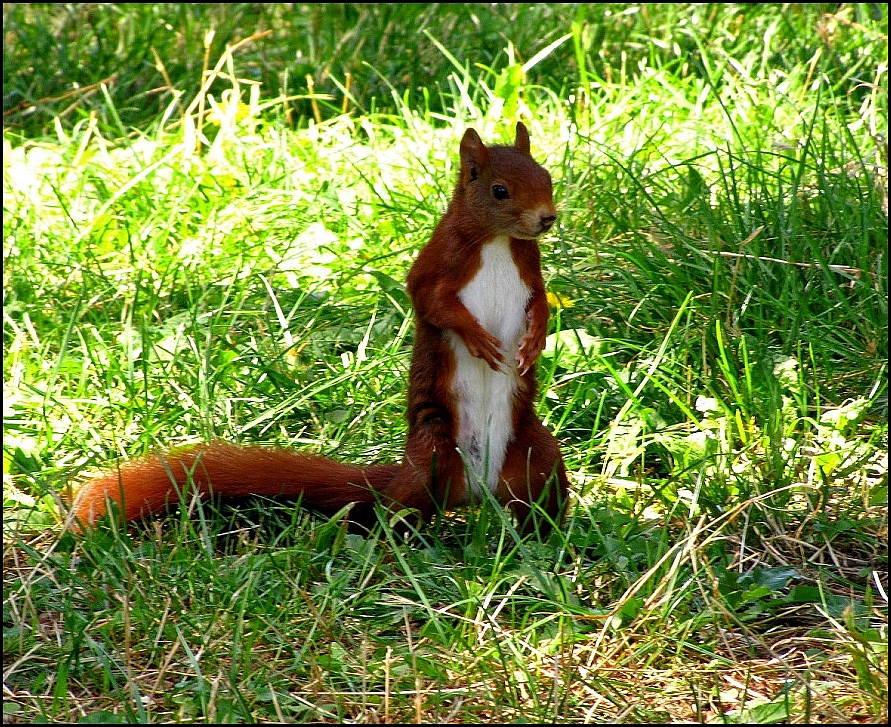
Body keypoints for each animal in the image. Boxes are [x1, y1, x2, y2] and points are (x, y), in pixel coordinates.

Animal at [69, 121, 572, 536]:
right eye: (500, 190)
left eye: (547, 176)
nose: (547, 217)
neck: (499, 242)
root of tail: (475, 491)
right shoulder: (437, 261)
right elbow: (430, 302)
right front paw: (477, 338)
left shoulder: (530, 273)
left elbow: (540, 304)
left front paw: (534, 341)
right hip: (433, 454)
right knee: (396, 511)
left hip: (538, 457)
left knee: (539, 499)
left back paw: (548, 535)